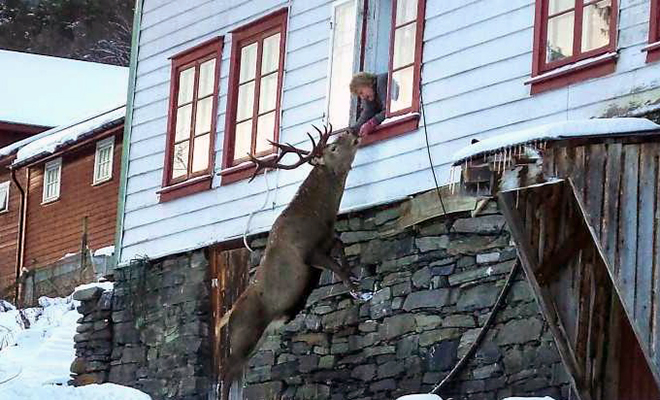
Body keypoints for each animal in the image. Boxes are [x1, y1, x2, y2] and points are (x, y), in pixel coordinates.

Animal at [218, 126, 368, 400]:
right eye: (333, 147)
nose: (353, 131)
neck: (318, 218)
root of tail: (228, 317)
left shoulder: (328, 240)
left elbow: (341, 246)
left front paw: (355, 277)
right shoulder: (308, 254)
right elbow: (337, 268)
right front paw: (357, 292)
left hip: (254, 341)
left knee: (234, 374)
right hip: (243, 336)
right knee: (225, 374)